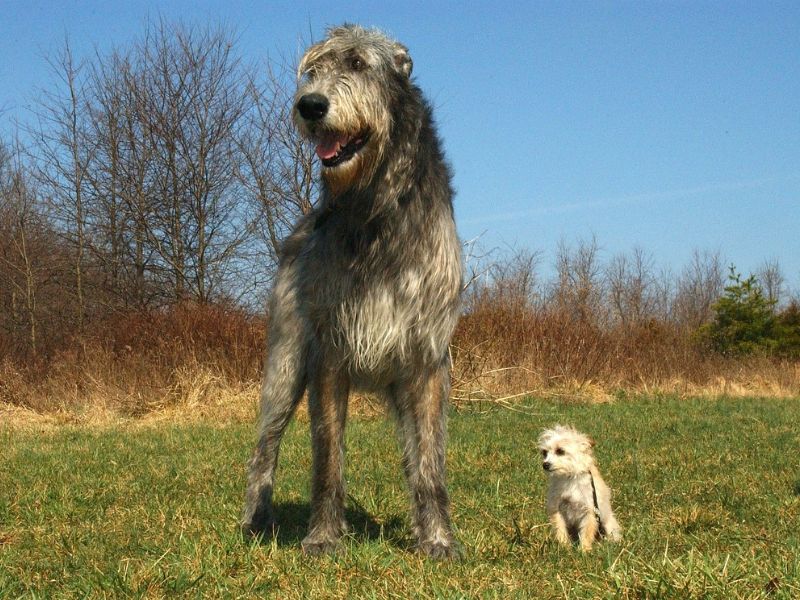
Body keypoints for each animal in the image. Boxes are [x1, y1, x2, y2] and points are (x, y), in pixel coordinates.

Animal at [241, 23, 462, 556]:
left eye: (359, 64)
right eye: (312, 70)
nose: (310, 105)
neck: (375, 207)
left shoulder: (428, 360)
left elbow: (430, 463)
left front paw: (438, 538)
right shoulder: (329, 354)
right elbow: (328, 458)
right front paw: (323, 537)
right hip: (284, 365)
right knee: (265, 447)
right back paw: (256, 518)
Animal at [540, 424, 620, 552]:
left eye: (560, 451)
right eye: (544, 453)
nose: (545, 464)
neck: (570, 478)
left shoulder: (590, 510)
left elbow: (587, 532)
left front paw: (584, 550)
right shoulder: (556, 509)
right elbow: (560, 529)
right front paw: (564, 547)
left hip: (608, 524)